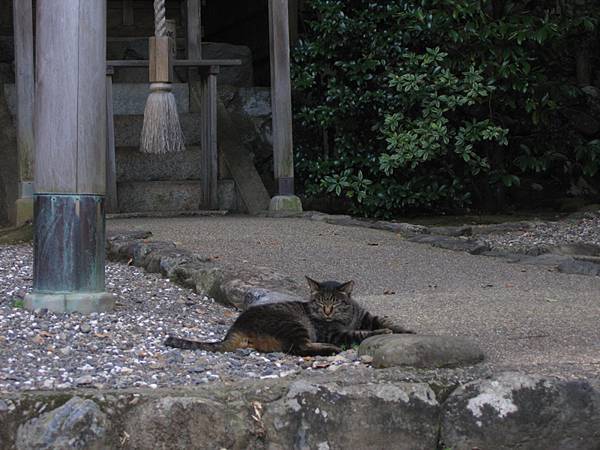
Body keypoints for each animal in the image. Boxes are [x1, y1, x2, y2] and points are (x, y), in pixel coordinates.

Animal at [165, 276, 418, 356]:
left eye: (335, 302)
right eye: (320, 303)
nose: (326, 311)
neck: (346, 317)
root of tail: (237, 325)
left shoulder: (365, 316)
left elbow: (384, 320)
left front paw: (405, 329)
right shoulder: (336, 332)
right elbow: (362, 333)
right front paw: (383, 331)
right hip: (293, 324)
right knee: (299, 348)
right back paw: (330, 349)